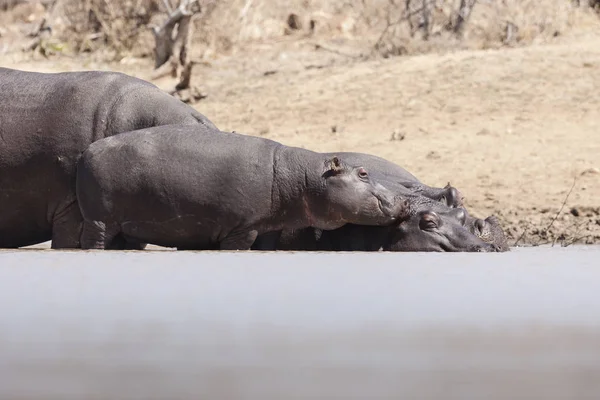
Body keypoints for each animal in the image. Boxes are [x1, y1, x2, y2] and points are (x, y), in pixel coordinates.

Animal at [74, 125, 404, 250]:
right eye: (363, 172)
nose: (402, 199)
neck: (304, 178)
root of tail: (87, 151)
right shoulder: (241, 228)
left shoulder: (267, 226)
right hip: (100, 221)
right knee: (93, 242)